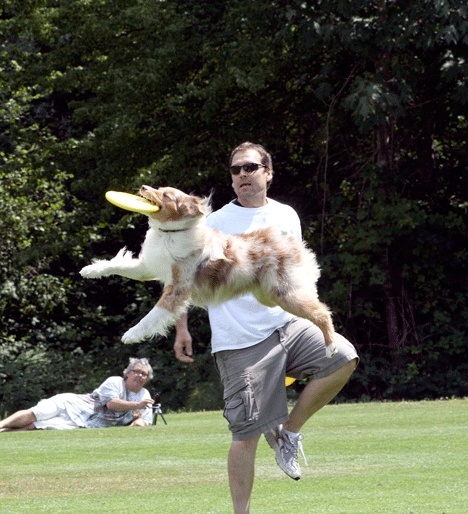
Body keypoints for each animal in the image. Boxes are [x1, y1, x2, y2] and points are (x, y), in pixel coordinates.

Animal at [79, 184, 336, 356]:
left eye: (166, 194)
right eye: (159, 188)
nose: (143, 186)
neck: (168, 234)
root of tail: (292, 244)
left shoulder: (178, 288)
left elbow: (154, 314)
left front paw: (131, 334)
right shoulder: (148, 267)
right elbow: (118, 265)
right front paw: (90, 270)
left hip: (283, 292)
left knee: (322, 312)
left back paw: (330, 347)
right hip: (268, 295)